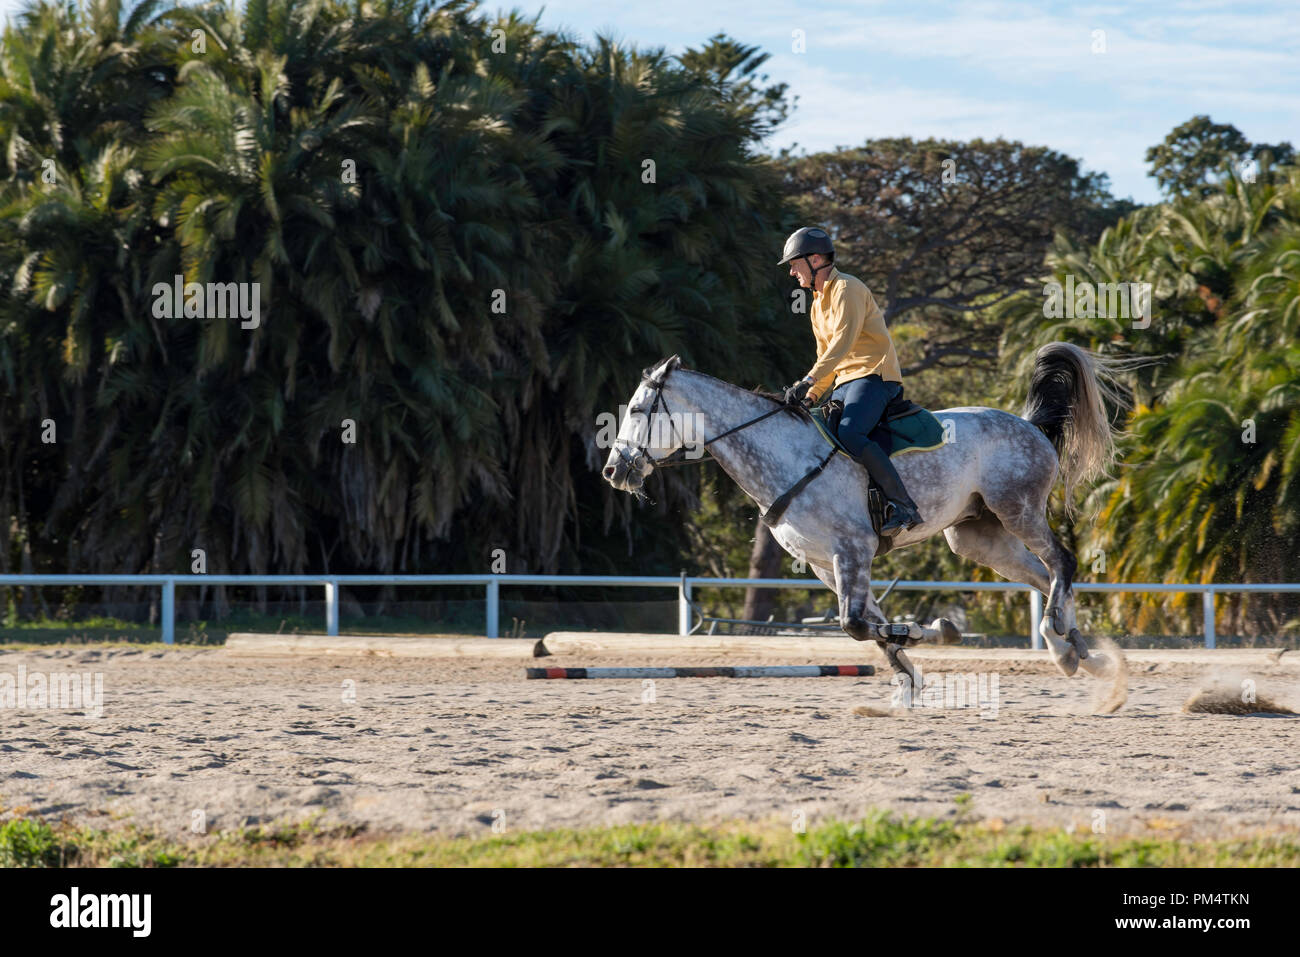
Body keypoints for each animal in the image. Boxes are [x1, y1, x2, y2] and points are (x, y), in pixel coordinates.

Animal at [601, 343, 1129, 701]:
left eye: (640, 409)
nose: (613, 471)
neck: (781, 454)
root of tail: (1029, 425)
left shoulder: (851, 550)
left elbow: (856, 624)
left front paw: (933, 636)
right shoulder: (825, 564)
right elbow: (871, 623)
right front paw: (911, 673)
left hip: (1018, 510)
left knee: (1062, 562)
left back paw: (1063, 646)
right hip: (979, 538)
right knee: (1046, 575)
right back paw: (1079, 652)